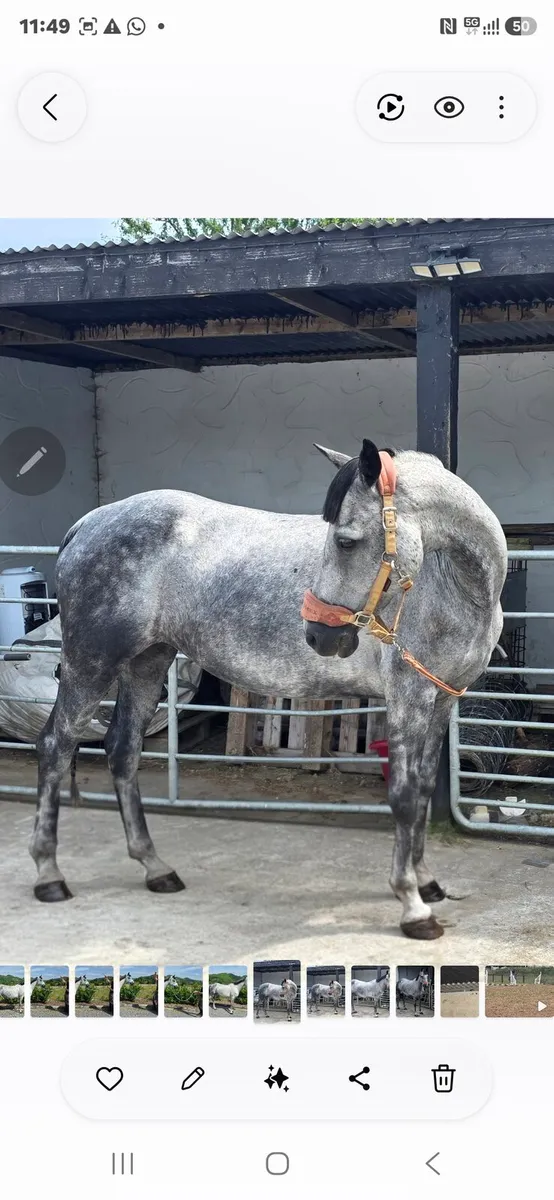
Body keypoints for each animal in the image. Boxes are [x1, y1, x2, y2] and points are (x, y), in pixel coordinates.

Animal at [29, 439, 506, 941]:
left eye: (345, 540)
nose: (318, 634)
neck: (453, 588)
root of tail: (88, 522)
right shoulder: (408, 699)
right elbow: (405, 795)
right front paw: (412, 905)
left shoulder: (441, 700)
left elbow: (426, 787)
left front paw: (427, 881)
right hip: (91, 662)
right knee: (56, 746)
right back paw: (49, 874)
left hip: (148, 661)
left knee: (122, 751)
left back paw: (155, 867)